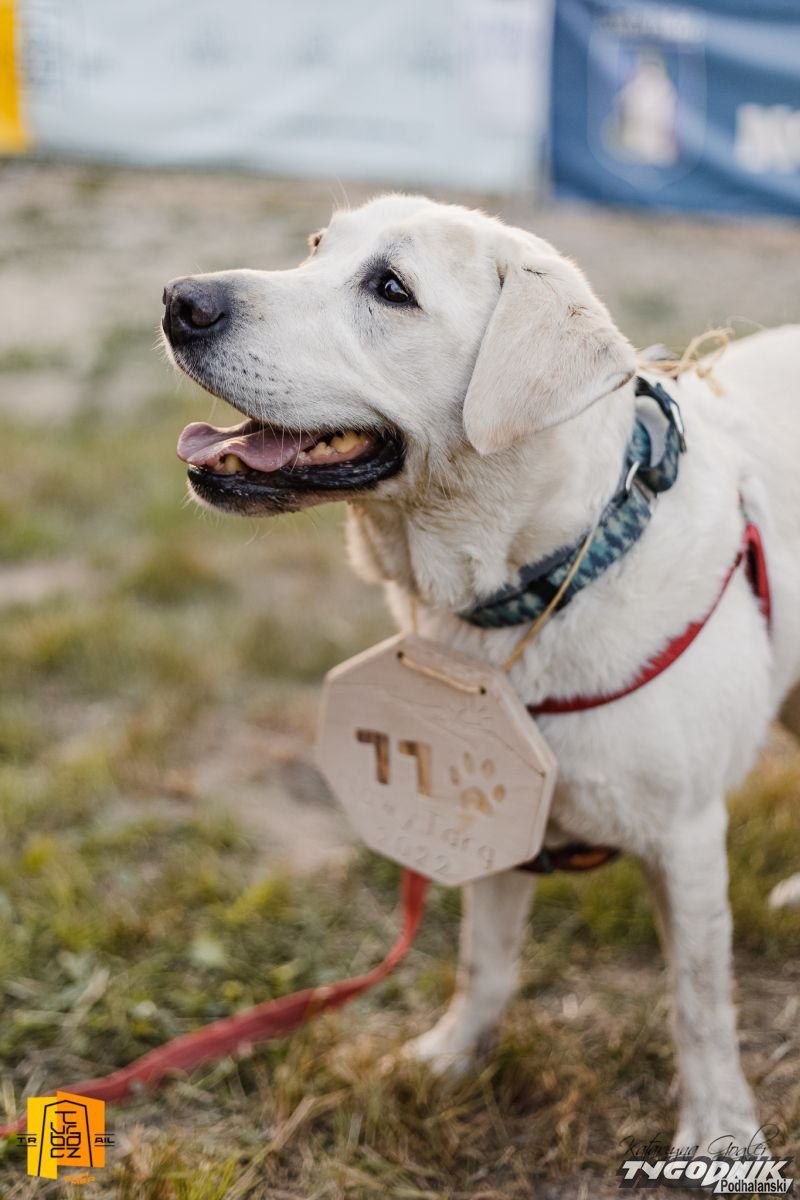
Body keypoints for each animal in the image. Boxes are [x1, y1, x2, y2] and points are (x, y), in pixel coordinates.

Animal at [161, 194, 800, 1149]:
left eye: (392, 289)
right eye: (316, 247)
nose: (179, 300)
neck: (537, 587)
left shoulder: (686, 838)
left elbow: (698, 1002)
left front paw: (720, 1129)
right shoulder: (497, 822)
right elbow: (484, 961)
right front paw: (454, 1058)